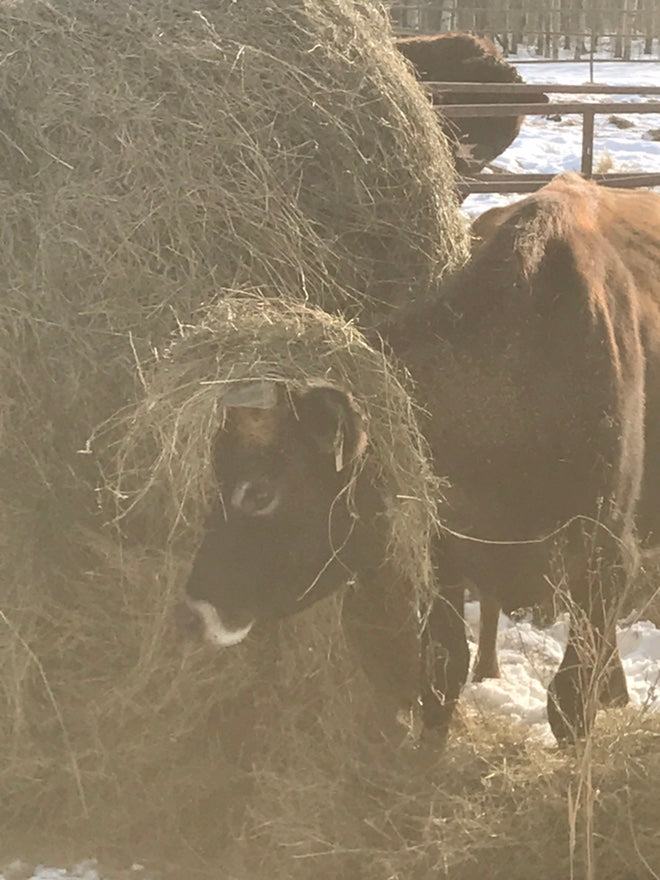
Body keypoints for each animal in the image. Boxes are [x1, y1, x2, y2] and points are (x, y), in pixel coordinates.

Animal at [182, 175, 660, 744]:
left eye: (259, 491)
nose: (194, 611)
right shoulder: (441, 551)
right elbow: (441, 666)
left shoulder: (608, 555)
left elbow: (569, 701)